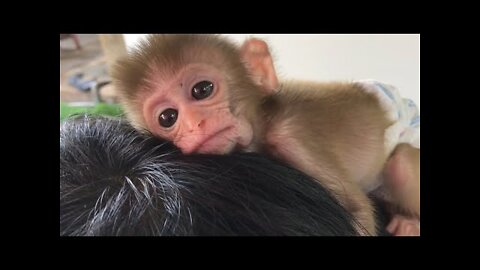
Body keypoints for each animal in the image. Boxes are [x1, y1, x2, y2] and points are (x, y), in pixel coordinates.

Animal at [112, 34, 420, 236]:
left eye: (202, 89)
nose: (194, 124)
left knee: (401, 162)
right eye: (168, 117)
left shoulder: (292, 137)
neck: (264, 122)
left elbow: (357, 209)